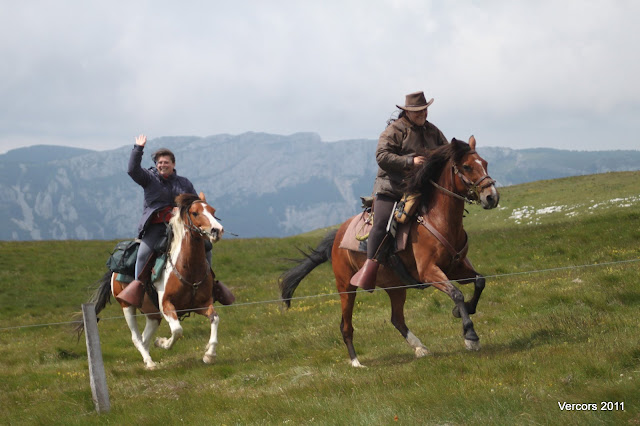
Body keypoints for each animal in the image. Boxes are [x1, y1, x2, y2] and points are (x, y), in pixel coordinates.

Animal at [78, 193, 225, 370]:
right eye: (195, 213)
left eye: (213, 210)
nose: (217, 230)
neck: (188, 269)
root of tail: (113, 271)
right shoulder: (166, 306)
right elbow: (177, 330)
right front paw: (162, 343)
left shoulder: (202, 304)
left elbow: (215, 319)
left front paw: (210, 355)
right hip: (127, 306)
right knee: (136, 338)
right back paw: (149, 362)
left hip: (153, 315)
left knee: (144, 337)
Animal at [280, 136, 500, 366]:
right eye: (467, 166)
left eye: (485, 163)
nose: (491, 197)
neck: (439, 220)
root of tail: (338, 236)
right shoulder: (429, 272)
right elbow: (456, 293)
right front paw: (470, 336)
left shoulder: (457, 268)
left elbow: (480, 281)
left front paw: (464, 309)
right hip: (346, 288)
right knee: (346, 326)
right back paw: (356, 362)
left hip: (395, 287)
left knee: (397, 319)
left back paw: (420, 348)